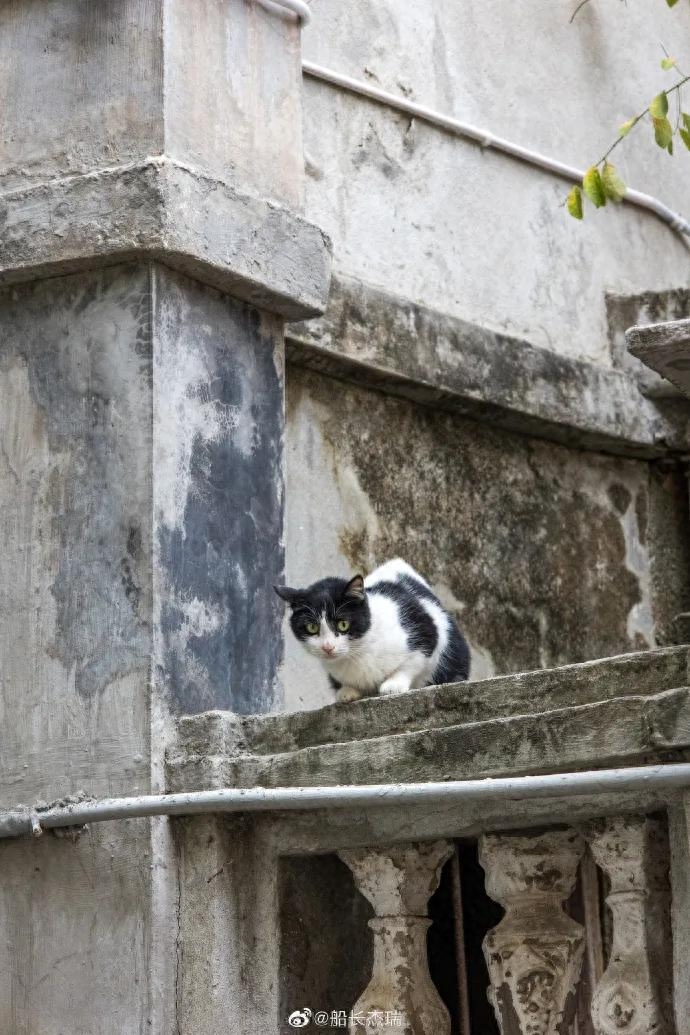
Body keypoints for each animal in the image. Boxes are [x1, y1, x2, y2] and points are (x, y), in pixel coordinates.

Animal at [275, 558, 469, 703]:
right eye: (312, 627)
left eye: (343, 624)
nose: (327, 647)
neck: (359, 651)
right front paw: (347, 690)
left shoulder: (426, 629)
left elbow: (414, 660)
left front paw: (393, 685)